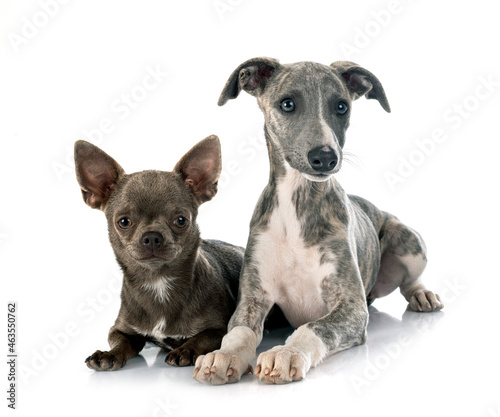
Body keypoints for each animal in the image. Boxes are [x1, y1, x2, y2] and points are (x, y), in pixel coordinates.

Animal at [74, 135, 244, 368]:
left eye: (181, 220)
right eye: (124, 222)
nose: (152, 236)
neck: (158, 281)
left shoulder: (219, 329)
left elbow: (200, 338)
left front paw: (186, 350)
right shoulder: (120, 330)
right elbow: (121, 343)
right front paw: (109, 354)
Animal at [193, 57, 444, 384]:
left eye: (341, 106)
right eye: (287, 104)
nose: (325, 157)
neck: (296, 205)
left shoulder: (351, 308)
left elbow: (313, 326)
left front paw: (286, 353)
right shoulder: (252, 298)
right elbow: (238, 332)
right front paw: (223, 356)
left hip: (409, 242)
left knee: (410, 279)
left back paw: (423, 295)